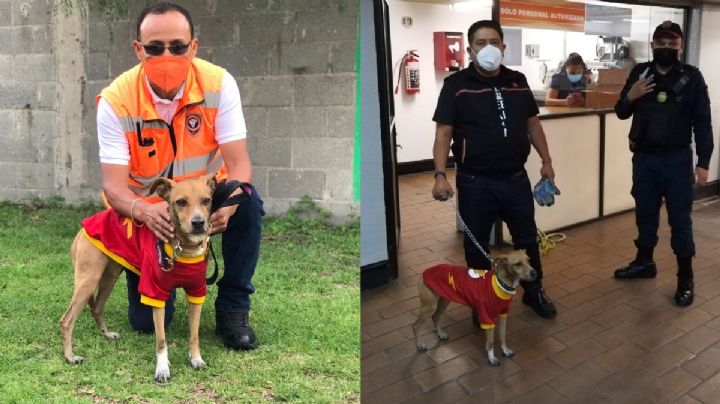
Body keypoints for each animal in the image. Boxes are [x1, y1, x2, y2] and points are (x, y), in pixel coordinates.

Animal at [58, 174, 217, 382]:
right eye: (181, 202)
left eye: (206, 200)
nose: (198, 222)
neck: (183, 248)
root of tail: (85, 226)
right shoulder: (155, 295)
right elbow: (161, 340)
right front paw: (162, 369)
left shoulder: (196, 293)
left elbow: (194, 335)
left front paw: (196, 359)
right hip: (88, 281)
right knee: (67, 320)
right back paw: (70, 356)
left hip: (110, 276)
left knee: (97, 307)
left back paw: (106, 334)